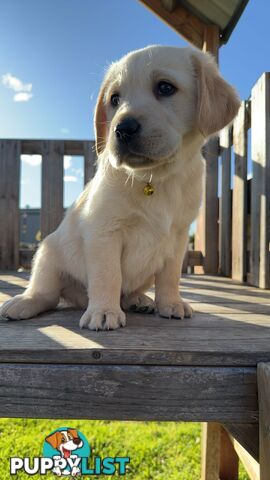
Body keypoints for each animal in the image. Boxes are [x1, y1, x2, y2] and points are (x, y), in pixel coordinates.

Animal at [0, 45, 240, 330]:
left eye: (165, 87)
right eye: (114, 99)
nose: (122, 129)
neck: (155, 178)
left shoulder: (178, 236)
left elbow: (170, 276)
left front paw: (170, 303)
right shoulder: (104, 231)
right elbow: (109, 275)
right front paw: (104, 311)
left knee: (129, 292)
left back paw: (140, 300)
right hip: (48, 255)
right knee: (47, 293)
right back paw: (24, 302)